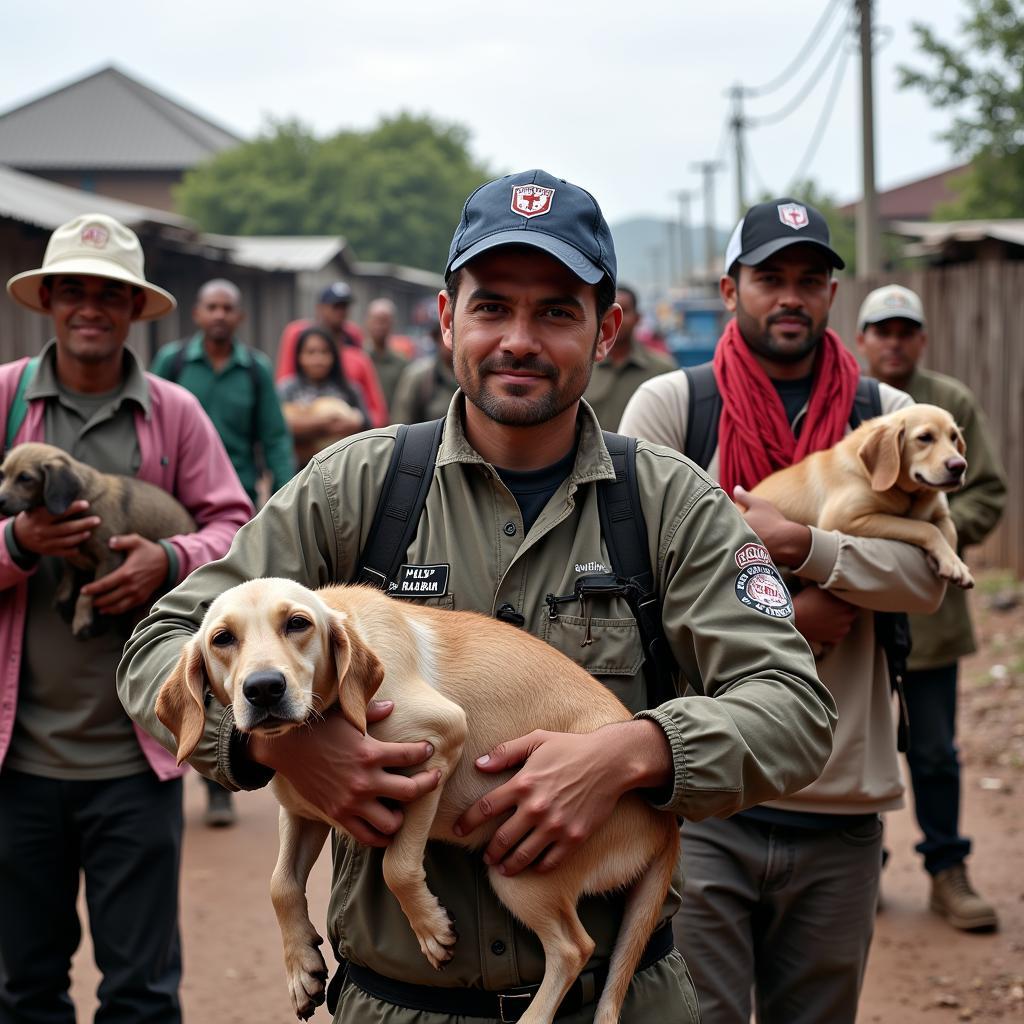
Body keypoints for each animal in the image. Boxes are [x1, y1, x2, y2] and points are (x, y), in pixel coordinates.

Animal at [0, 442, 195, 634]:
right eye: (2, 474)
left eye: (25, 478)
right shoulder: (70, 553)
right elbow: (68, 573)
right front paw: (63, 596)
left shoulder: (109, 559)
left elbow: (87, 593)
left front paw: (81, 620)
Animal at [749, 403, 970, 589]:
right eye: (924, 437)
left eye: (954, 437)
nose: (959, 466)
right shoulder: (842, 519)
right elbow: (925, 528)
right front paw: (952, 562)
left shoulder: (941, 514)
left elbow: (948, 530)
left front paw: (952, 561)